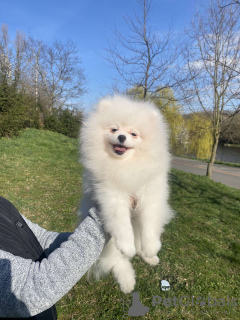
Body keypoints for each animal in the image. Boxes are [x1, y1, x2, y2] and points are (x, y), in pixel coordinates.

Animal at [78, 94, 173, 292]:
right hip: (109, 246)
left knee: (139, 247)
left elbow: (149, 223)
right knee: (117, 260)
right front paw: (127, 245)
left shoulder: (151, 194)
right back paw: (128, 281)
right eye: (114, 129)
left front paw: (152, 247)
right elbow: (122, 224)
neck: (126, 165)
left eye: (133, 134)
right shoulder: (111, 195)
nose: (121, 137)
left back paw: (149, 257)